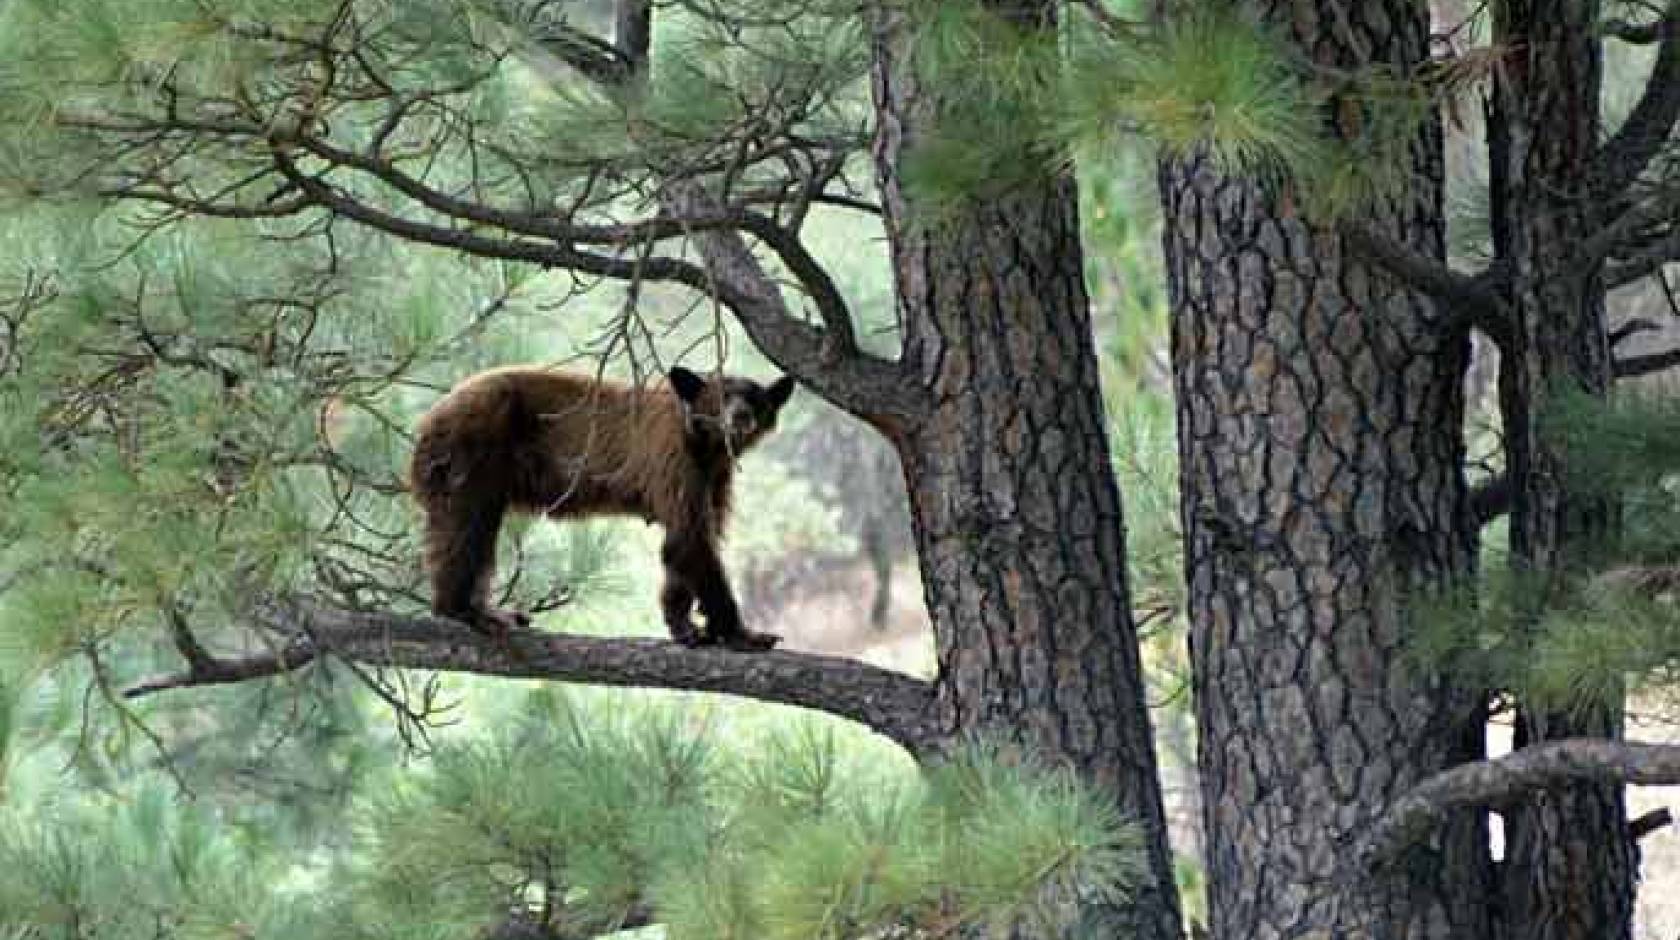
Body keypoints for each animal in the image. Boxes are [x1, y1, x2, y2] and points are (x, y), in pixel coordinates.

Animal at [409, 364, 796, 651]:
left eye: (756, 398)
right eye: (721, 397)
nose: (741, 416)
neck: (707, 447)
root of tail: (428, 420)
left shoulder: (714, 477)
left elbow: (688, 538)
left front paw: (684, 626)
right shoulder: (673, 457)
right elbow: (691, 538)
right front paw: (744, 633)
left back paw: (489, 609)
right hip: (470, 453)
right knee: (465, 528)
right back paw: (466, 611)